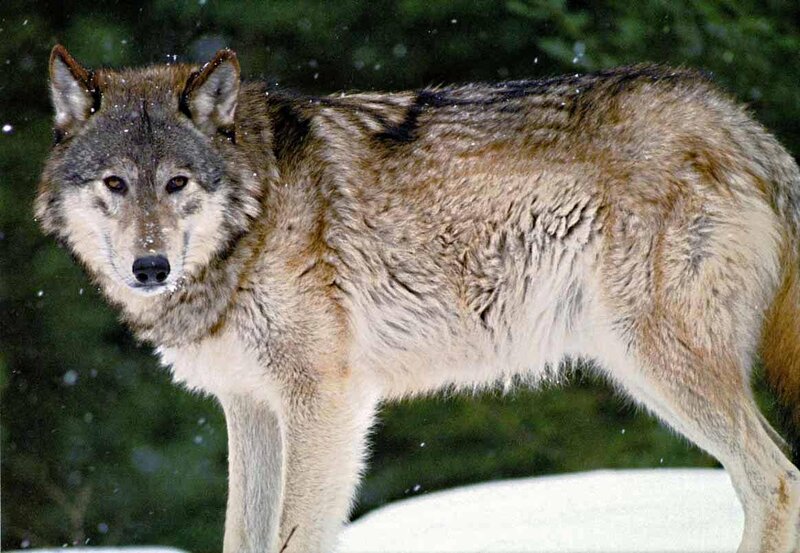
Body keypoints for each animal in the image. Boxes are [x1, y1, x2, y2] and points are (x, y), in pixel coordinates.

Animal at [36, 44, 800, 552]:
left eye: (177, 183)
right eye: (114, 184)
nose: (151, 266)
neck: (255, 218)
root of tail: (742, 125)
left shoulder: (324, 402)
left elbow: (295, 537)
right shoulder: (250, 407)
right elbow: (241, 537)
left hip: (659, 364)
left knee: (776, 479)